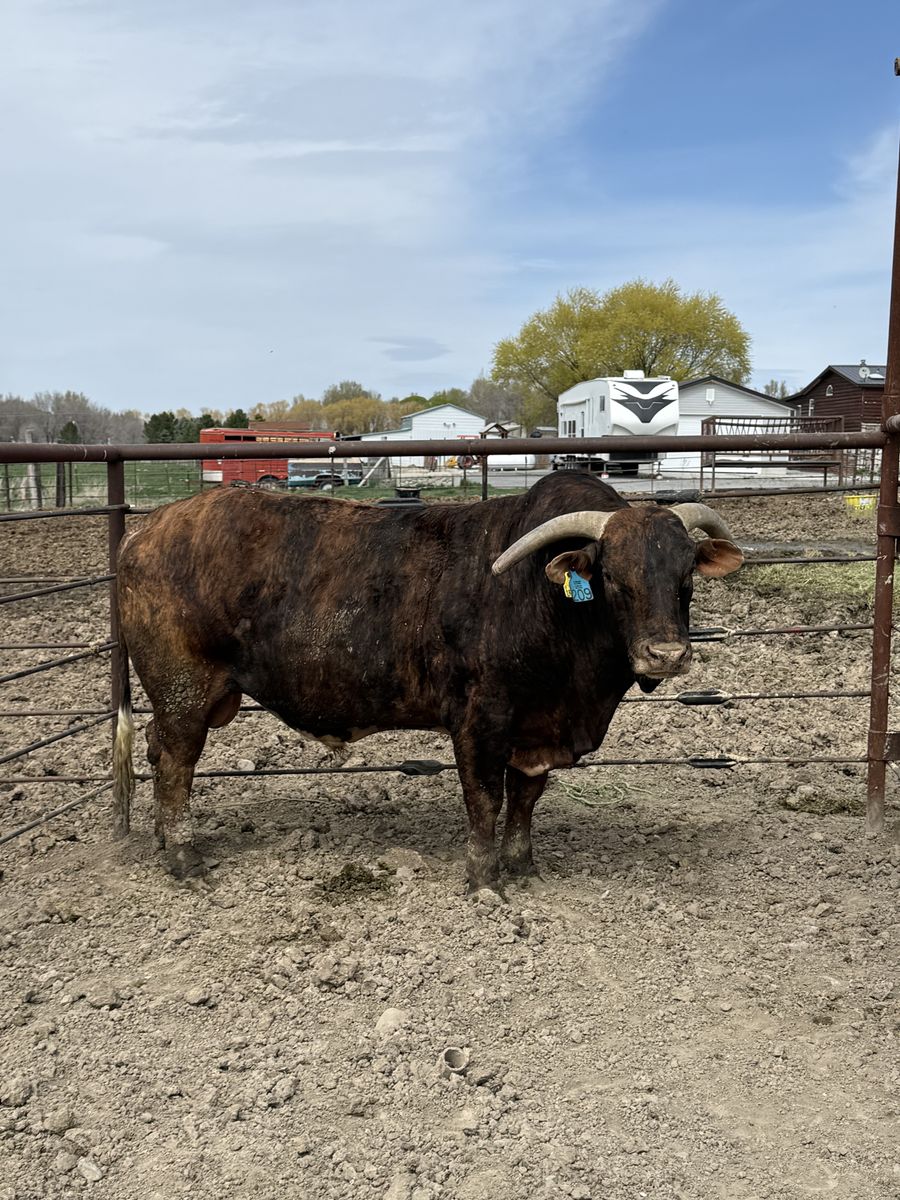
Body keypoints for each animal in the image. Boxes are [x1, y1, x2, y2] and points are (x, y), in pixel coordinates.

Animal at [112, 470, 742, 892]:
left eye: (686, 575)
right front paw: (484, 877)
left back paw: (163, 839)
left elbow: (526, 798)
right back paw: (184, 858)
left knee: (158, 752)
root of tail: (145, 531)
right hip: (184, 692)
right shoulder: (481, 719)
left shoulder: (536, 728)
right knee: (175, 766)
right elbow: (485, 797)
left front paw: (523, 865)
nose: (666, 654)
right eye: (612, 576)